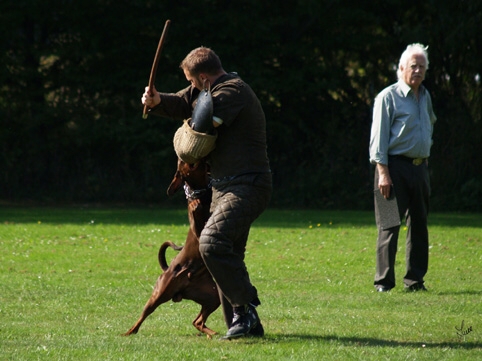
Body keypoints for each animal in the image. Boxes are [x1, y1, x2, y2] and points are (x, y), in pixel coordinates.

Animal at [124, 159, 222, 336]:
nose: (179, 157)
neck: (201, 191)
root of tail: (167, 269)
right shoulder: (197, 229)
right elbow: (195, 210)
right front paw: (194, 203)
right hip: (159, 294)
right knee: (143, 316)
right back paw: (128, 332)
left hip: (212, 296)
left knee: (197, 321)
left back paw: (212, 334)